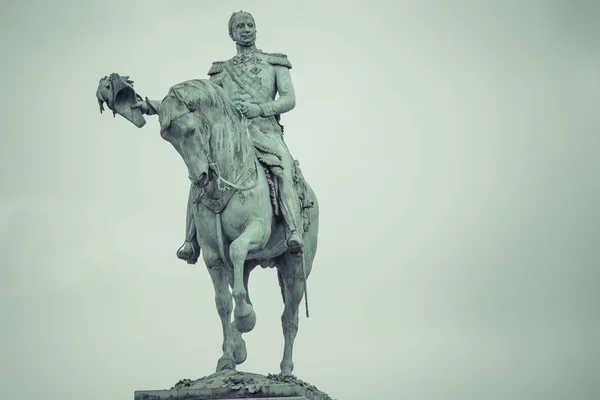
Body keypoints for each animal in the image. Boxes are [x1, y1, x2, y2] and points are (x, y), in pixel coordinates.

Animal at [157, 78, 322, 376]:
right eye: (168, 138)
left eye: (189, 130)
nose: (200, 178)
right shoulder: (212, 255)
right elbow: (223, 303)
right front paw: (227, 357)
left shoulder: (256, 231)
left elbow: (236, 250)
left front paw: (246, 318)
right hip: (250, 265)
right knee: (241, 287)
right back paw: (239, 345)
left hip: (295, 269)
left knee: (289, 318)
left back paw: (286, 369)